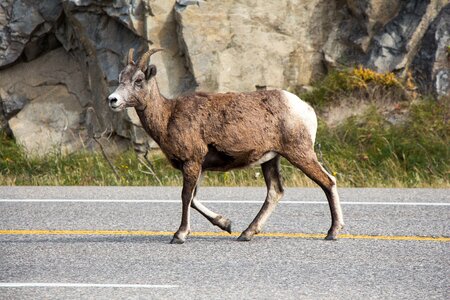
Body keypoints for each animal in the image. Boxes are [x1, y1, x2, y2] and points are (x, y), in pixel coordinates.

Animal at [108, 47, 344, 244]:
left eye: (139, 80)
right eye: (121, 78)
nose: (113, 100)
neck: (167, 117)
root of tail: (304, 108)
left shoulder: (192, 162)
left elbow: (185, 197)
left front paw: (180, 235)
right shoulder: (199, 166)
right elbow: (193, 199)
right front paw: (226, 224)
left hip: (299, 153)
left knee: (327, 182)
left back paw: (332, 232)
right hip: (271, 159)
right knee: (275, 192)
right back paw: (246, 233)